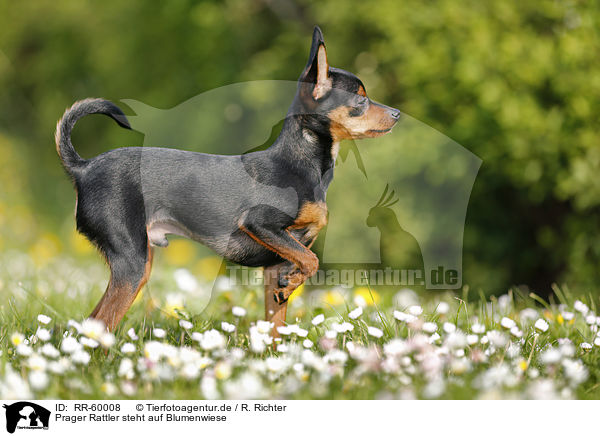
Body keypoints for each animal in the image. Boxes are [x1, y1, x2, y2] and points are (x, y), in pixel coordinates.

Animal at [56, 26, 400, 334]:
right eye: (361, 101)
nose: (397, 113)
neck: (301, 162)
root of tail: (84, 167)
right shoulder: (260, 225)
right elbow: (311, 261)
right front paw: (291, 284)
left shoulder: (275, 265)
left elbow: (277, 323)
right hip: (132, 264)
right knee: (100, 323)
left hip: (138, 264)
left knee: (93, 323)